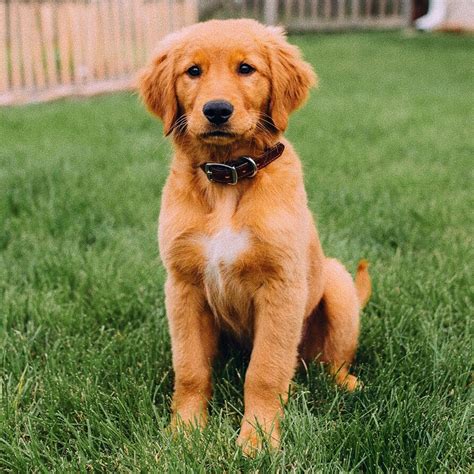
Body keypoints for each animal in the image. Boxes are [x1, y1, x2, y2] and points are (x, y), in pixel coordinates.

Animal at [138, 18, 370, 454]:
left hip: (337, 284)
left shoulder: (281, 286)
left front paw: (257, 440)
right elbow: (190, 368)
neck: (228, 178)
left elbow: (264, 371)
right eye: (193, 71)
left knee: (332, 360)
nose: (216, 110)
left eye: (246, 69)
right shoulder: (183, 285)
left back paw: (347, 384)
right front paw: (185, 433)